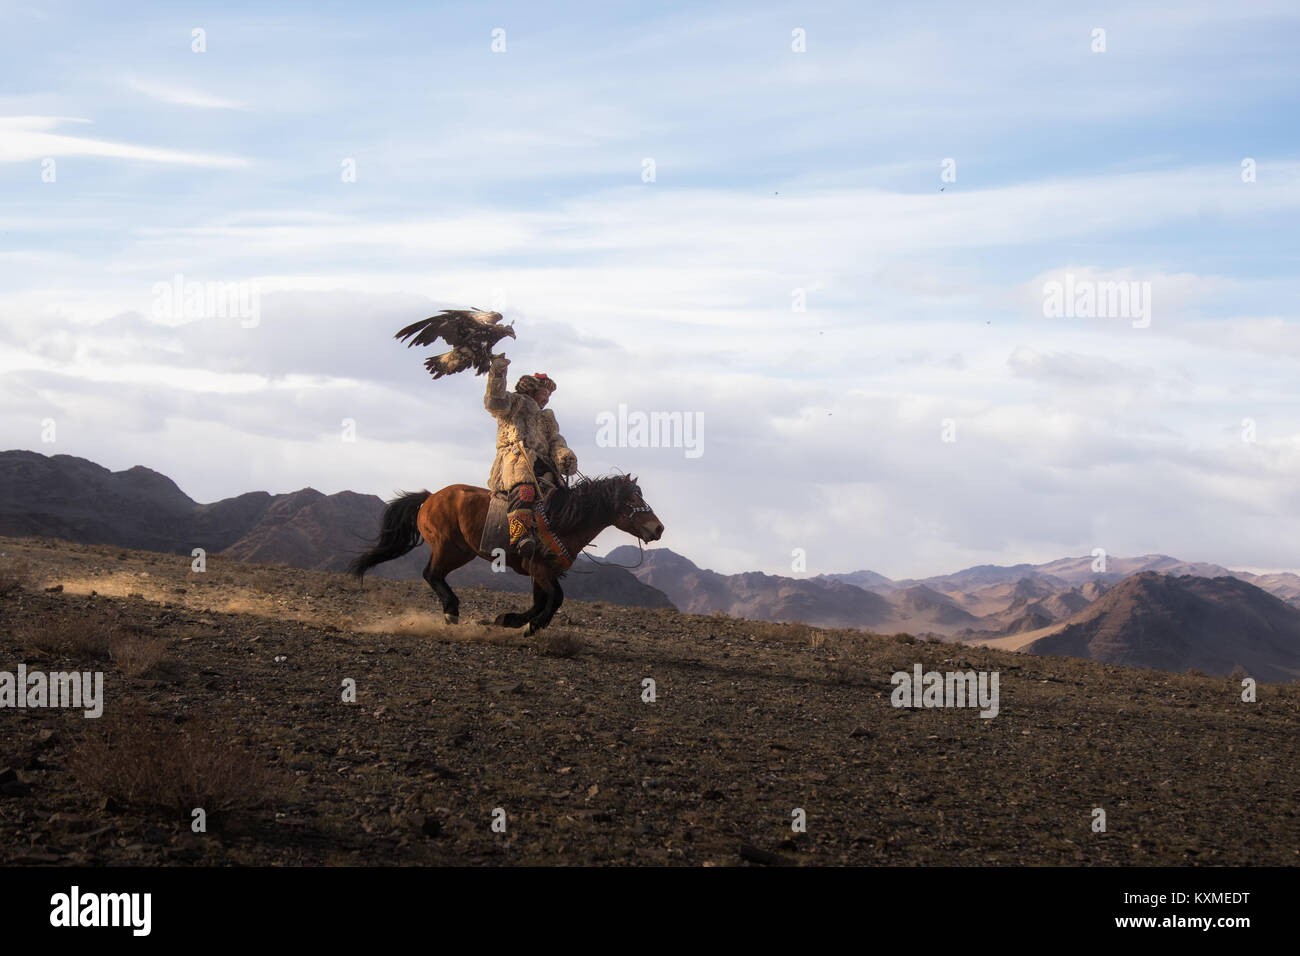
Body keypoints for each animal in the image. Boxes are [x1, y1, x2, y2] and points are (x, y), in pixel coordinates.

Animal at [345, 476, 665, 639]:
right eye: (632, 499)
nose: (658, 528)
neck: (563, 518)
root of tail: (430, 497)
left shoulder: (541, 573)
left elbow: (541, 601)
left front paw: (509, 620)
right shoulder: (540, 568)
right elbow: (555, 599)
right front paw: (531, 625)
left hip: (460, 551)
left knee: (435, 575)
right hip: (449, 547)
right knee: (431, 574)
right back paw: (451, 612)